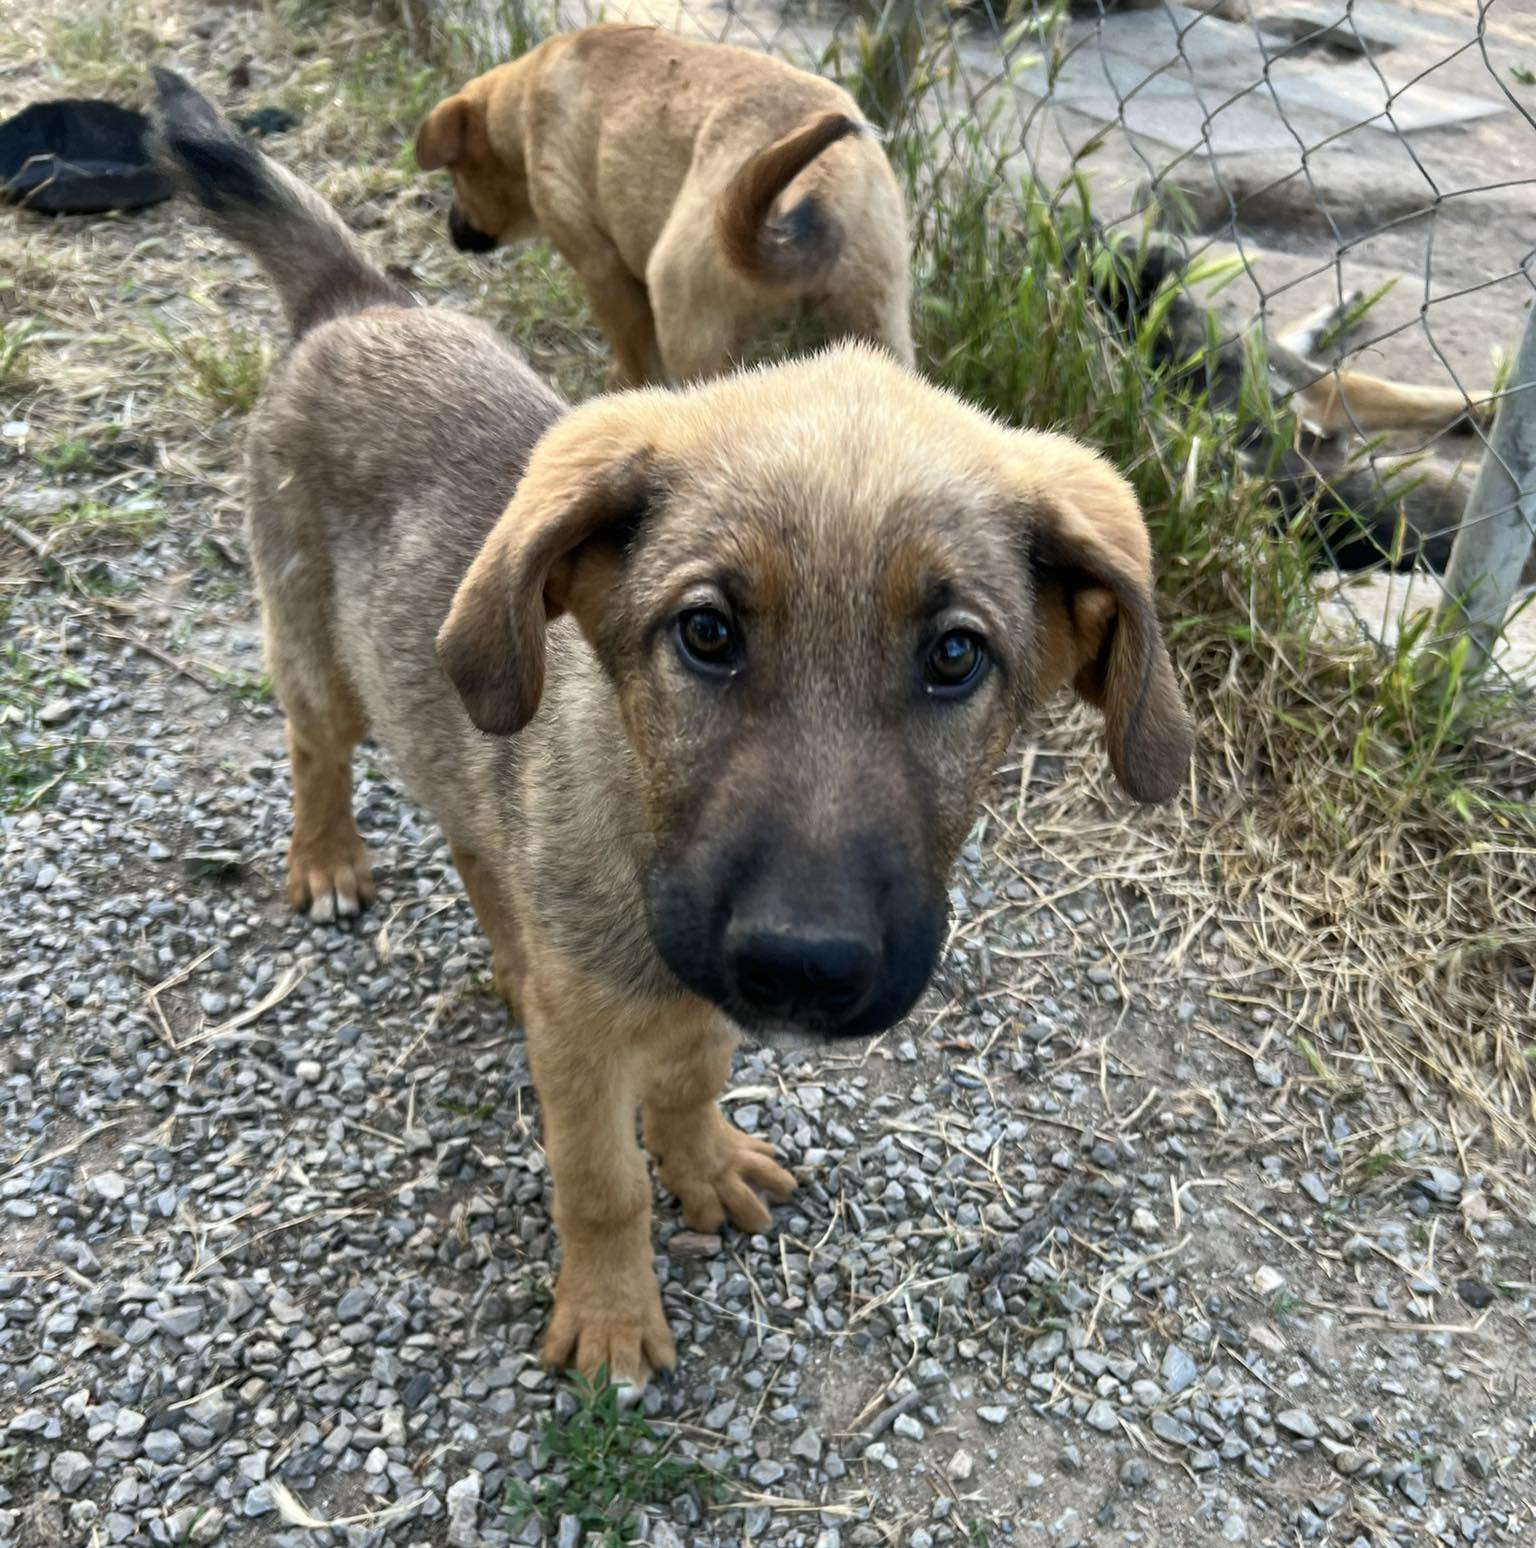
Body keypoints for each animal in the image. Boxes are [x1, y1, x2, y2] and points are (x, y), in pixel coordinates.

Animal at [150, 69, 1195, 1393]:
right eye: (706, 633)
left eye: (956, 657)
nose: (806, 967)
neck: (637, 826)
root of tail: (358, 301)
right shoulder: (592, 1047)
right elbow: (598, 1183)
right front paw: (609, 1319)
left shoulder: (696, 983)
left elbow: (692, 1078)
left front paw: (700, 1163)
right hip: (313, 648)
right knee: (316, 751)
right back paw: (328, 860)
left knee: (478, 843)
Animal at [414, 23, 910, 387]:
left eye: (455, 176)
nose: (452, 233)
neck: (519, 111)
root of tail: (821, 178)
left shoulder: (603, 271)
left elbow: (636, 359)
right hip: (878, 325)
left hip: (686, 317)